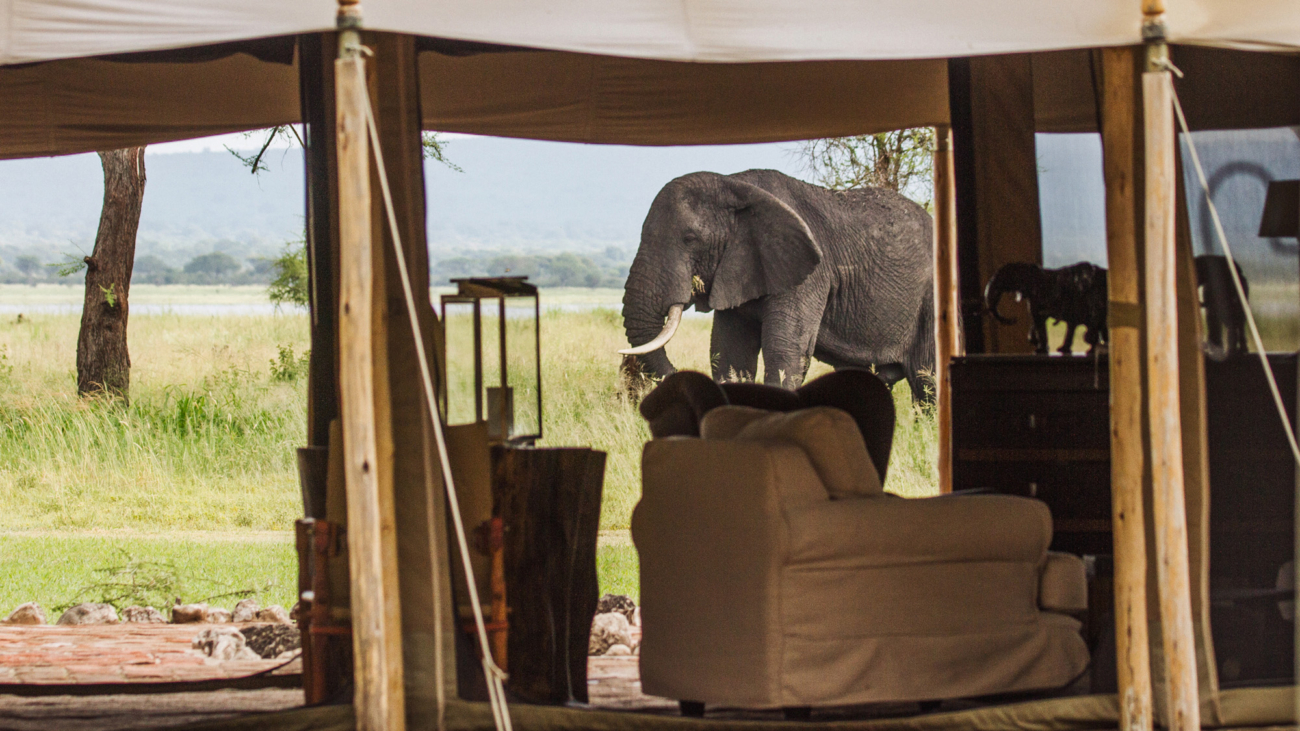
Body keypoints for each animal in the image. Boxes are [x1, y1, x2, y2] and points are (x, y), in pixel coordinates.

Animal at [619, 169, 935, 400]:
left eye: (690, 238)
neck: (734, 183)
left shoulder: (809, 274)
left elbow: (785, 353)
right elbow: (730, 355)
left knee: (927, 381)